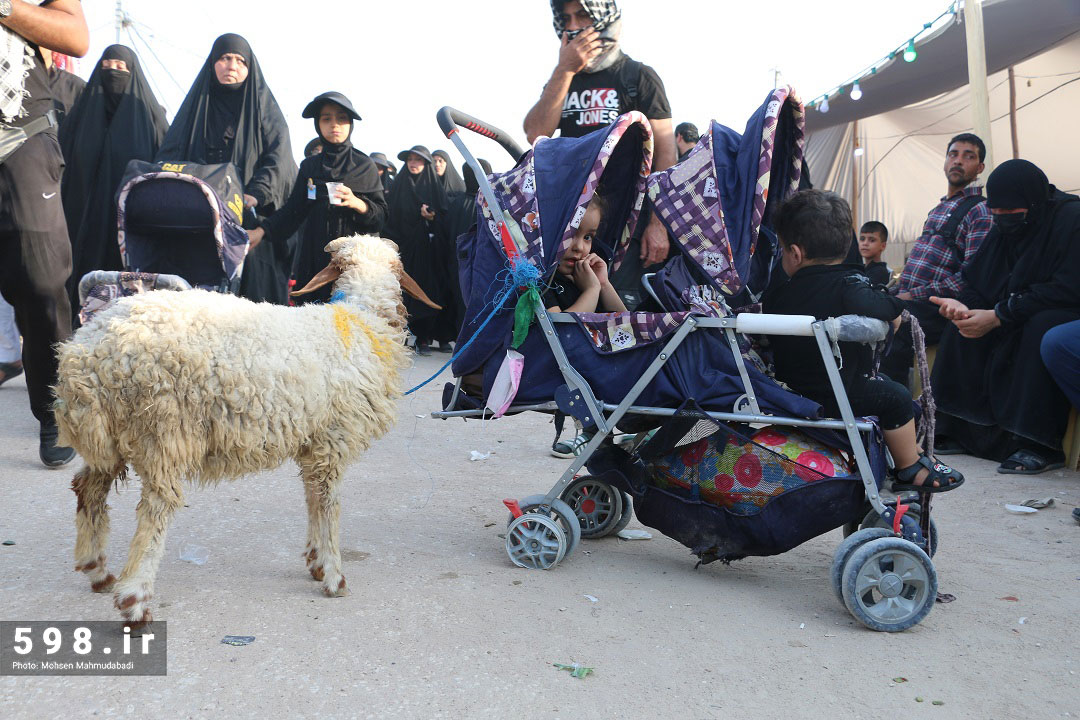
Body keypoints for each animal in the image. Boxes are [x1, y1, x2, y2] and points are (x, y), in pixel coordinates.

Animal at [52, 235, 436, 626]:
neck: (360, 321)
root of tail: (90, 350)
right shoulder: (333, 440)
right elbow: (330, 505)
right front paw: (333, 575)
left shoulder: (313, 443)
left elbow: (313, 499)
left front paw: (314, 561)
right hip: (165, 430)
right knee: (155, 509)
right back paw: (134, 600)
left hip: (108, 436)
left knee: (87, 489)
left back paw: (96, 569)